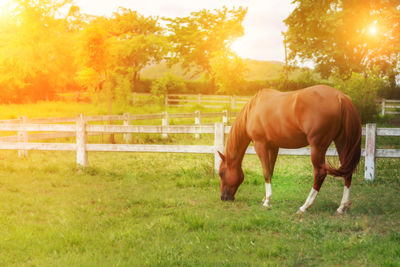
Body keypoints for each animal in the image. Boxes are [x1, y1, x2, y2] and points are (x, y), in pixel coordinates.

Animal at [219, 86, 362, 216]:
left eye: (221, 173)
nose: (223, 198)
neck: (253, 110)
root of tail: (340, 97)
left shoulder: (260, 145)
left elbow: (265, 172)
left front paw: (267, 202)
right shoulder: (273, 147)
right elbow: (270, 171)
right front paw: (265, 198)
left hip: (318, 146)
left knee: (320, 173)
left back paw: (304, 206)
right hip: (342, 142)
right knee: (347, 172)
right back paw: (342, 207)